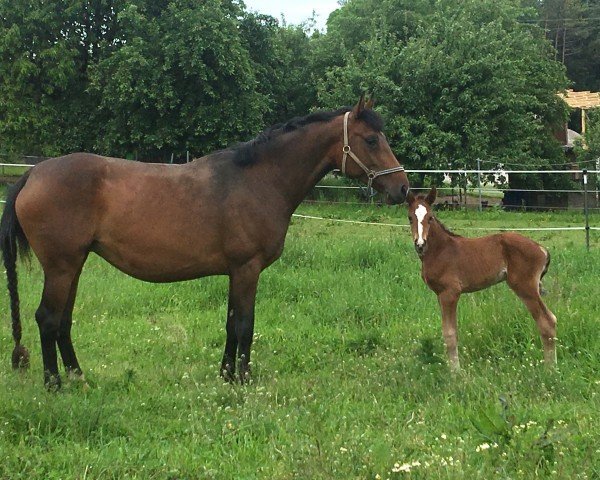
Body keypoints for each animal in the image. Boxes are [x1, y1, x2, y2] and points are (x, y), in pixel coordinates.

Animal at [406, 188, 556, 372]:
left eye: (430, 217)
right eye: (410, 217)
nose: (420, 244)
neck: (440, 250)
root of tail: (541, 249)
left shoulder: (450, 293)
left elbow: (450, 333)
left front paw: (455, 372)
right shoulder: (439, 295)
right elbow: (445, 330)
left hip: (525, 287)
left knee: (547, 321)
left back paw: (550, 370)